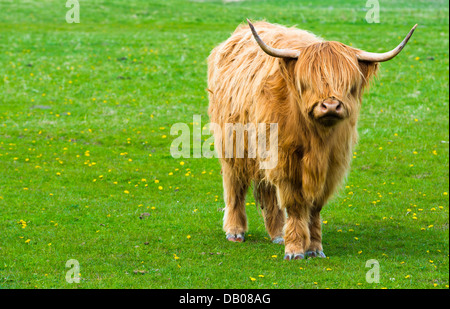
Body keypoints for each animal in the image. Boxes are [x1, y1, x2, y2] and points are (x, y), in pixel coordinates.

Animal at [208, 19, 418, 258]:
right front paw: (295, 248)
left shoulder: (332, 164)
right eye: (309, 80)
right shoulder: (285, 161)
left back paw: (277, 234)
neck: (317, 139)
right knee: (234, 185)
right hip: (232, 143)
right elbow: (295, 204)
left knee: (267, 191)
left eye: (348, 83)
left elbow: (316, 206)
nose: (331, 106)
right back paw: (235, 231)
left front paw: (315, 248)